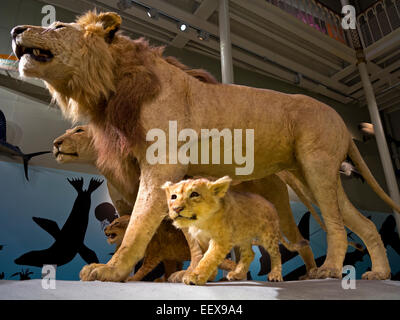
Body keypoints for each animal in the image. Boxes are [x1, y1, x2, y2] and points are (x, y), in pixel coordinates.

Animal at [12, 10, 400, 280]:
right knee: (362, 224)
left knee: (334, 224)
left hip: (316, 167)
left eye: (57, 26)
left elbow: (137, 225)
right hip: (314, 175)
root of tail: (342, 120)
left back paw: (330, 269)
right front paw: (191, 272)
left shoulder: (162, 165)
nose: (15, 30)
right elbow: (187, 236)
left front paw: (111, 271)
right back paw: (380, 273)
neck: (113, 84)